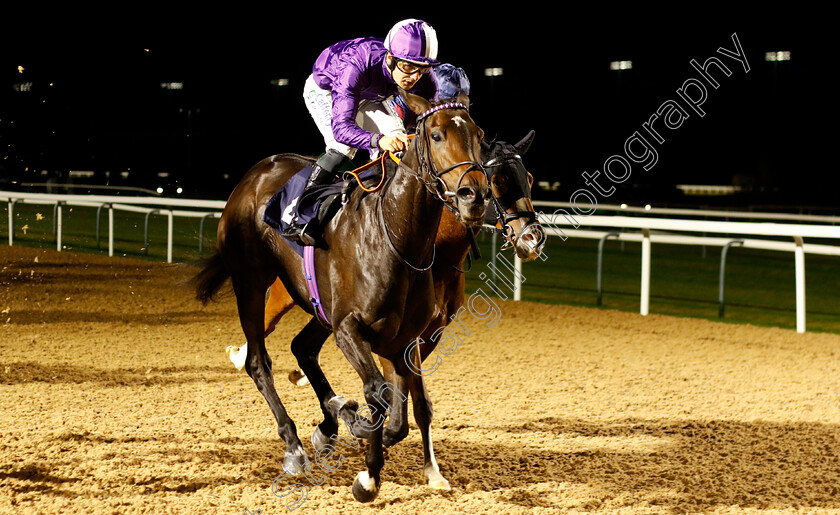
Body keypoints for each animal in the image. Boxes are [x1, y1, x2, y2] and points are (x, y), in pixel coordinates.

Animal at [191, 90, 488, 502]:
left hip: (318, 308)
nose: (474, 195)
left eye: (480, 136)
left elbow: (400, 416)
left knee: (303, 348)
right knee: (257, 361)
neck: (396, 239)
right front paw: (366, 468)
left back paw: (330, 419)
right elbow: (377, 395)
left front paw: (367, 457)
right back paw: (295, 445)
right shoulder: (350, 328)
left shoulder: (403, 340)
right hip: (250, 282)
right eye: (436, 135)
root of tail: (257, 171)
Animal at [258, 131, 544, 490]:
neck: (436, 248)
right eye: (497, 180)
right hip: (283, 296)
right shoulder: (388, 333)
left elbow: (418, 404)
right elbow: (397, 402)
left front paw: (430, 470)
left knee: (302, 346)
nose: (533, 238)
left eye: (529, 178)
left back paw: (325, 422)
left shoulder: (426, 334)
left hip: (325, 315)